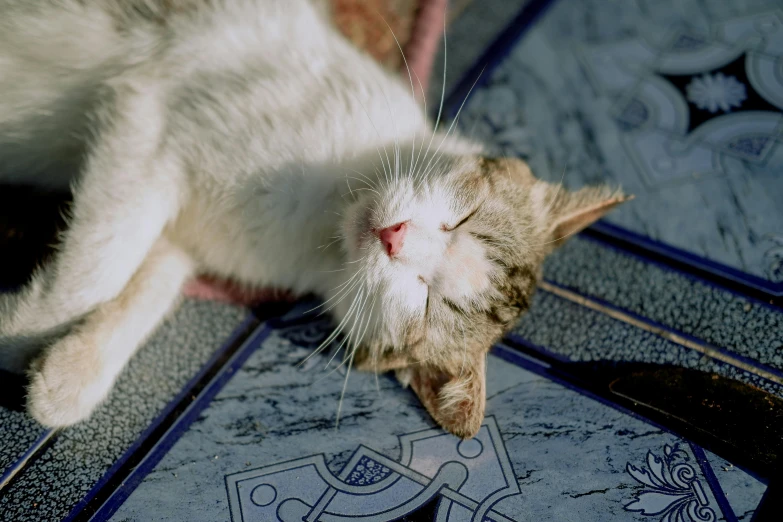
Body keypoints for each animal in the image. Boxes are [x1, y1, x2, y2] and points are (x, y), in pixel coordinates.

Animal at [0, 0, 632, 436]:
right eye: (465, 215)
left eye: (423, 303)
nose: (394, 237)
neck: (324, 217)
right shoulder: (148, 120)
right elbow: (96, 273)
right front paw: (20, 329)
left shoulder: (179, 213)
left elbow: (145, 281)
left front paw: (64, 371)